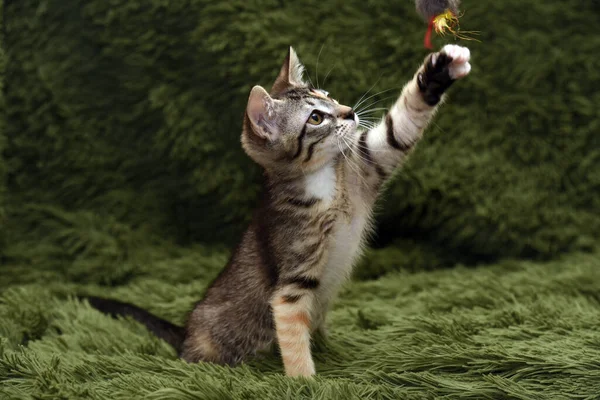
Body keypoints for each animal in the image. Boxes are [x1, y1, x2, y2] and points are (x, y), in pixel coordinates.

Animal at [88, 45, 474, 376]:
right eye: (316, 117)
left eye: (329, 96)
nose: (350, 112)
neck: (325, 182)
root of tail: (185, 334)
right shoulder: (291, 285)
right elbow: (293, 339)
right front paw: (305, 383)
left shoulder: (369, 162)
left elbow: (400, 127)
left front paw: (441, 68)